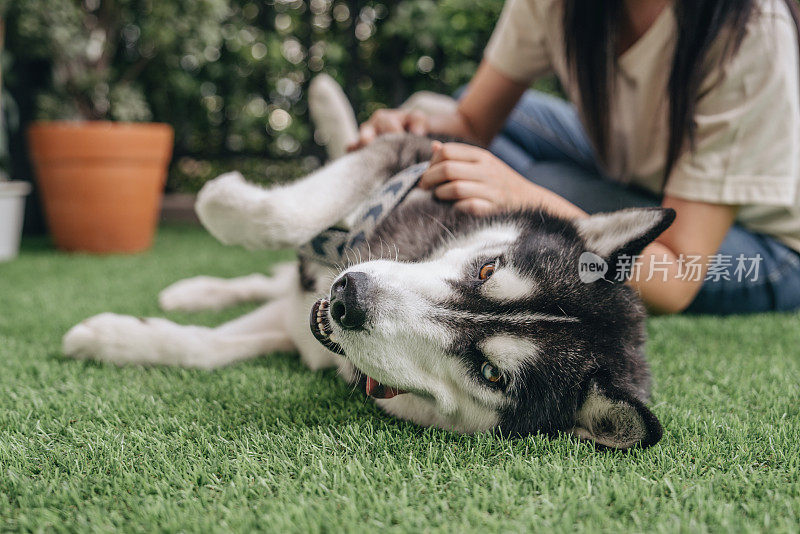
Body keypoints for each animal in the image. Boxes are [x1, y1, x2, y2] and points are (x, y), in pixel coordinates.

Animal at [64, 76, 676, 452]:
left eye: (491, 374)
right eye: (487, 269)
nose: (347, 299)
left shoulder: (305, 332)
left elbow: (211, 348)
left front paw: (111, 339)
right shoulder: (412, 157)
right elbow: (287, 212)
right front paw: (219, 198)